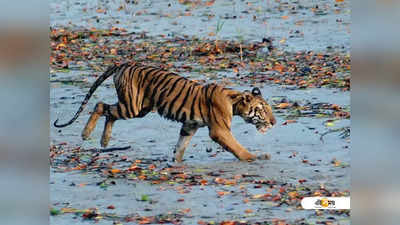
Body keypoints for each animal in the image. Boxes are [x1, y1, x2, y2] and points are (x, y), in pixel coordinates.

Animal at [54, 62, 276, 162]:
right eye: (263, 110)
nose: (274, 123)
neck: (235, 102)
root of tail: (124, 63)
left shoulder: (190, 125)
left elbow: (180, 145)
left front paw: (176, 162)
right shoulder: (219, 130)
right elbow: (237, 147)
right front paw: (255, 157)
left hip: (139, 108)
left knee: (109, 112)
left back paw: (104, 141)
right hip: (132, 106)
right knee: (101, 106)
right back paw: (87, 135)